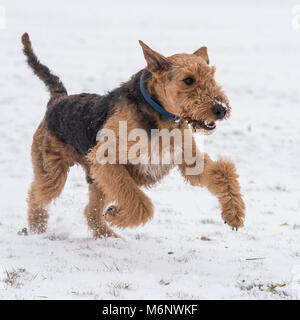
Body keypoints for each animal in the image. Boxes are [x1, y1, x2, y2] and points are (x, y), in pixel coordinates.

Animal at [21, 33, 246, 238]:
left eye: (212, 76)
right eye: (188, 80)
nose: (221, 109)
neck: (162, 116)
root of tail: (57, 99)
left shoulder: (189, 161)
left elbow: (223, 172)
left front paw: (234, 215)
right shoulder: (106, 159)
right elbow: (140, 203)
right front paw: (115, 215)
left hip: (95, 179)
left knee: (90, 213)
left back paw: (108, 236)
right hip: (53, 172)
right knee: (36, 196)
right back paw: (37, 229)